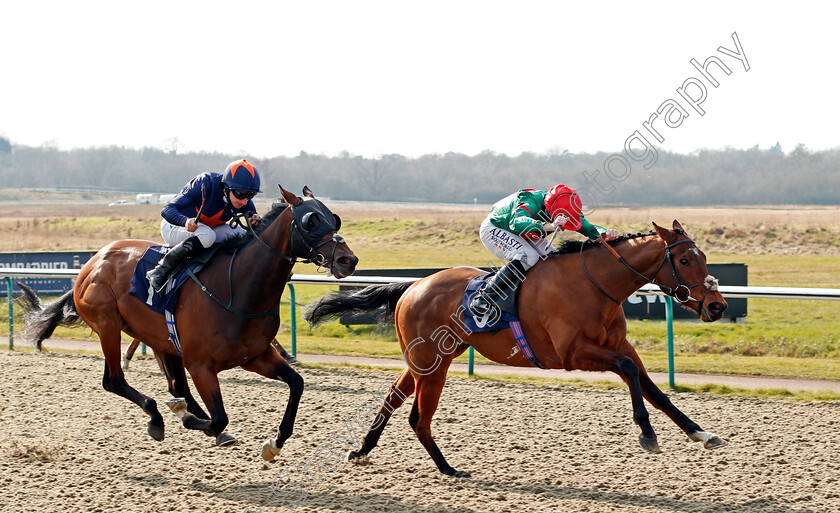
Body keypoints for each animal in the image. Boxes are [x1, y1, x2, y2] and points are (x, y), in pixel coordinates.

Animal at [19, 186, 354, 458]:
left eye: (334, 218)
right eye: (311, 220)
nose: (348, 260)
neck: (238, 288)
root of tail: (91, 262)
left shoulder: (255, 356)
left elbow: (296, 384)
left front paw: (275, 442)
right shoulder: (201, 364)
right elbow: (219, 416)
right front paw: (194, 420)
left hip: (160, 340)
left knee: (175, 384)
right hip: (107, 326)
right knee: (114, 380)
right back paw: (159, 416)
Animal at [306, 219, 728, 476]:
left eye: (705, 257)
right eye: (685, 259)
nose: (717, 306)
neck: (594, 284)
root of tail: (413, 285)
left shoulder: (618, 344)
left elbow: (655, 389)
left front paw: (701, 433)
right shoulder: (573, 354)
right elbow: (627, 370)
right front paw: (647, 433)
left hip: (430, 358)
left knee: (395, 396)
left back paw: (363, 449)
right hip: (433, 361)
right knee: (418, 417)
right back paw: (448, 468)